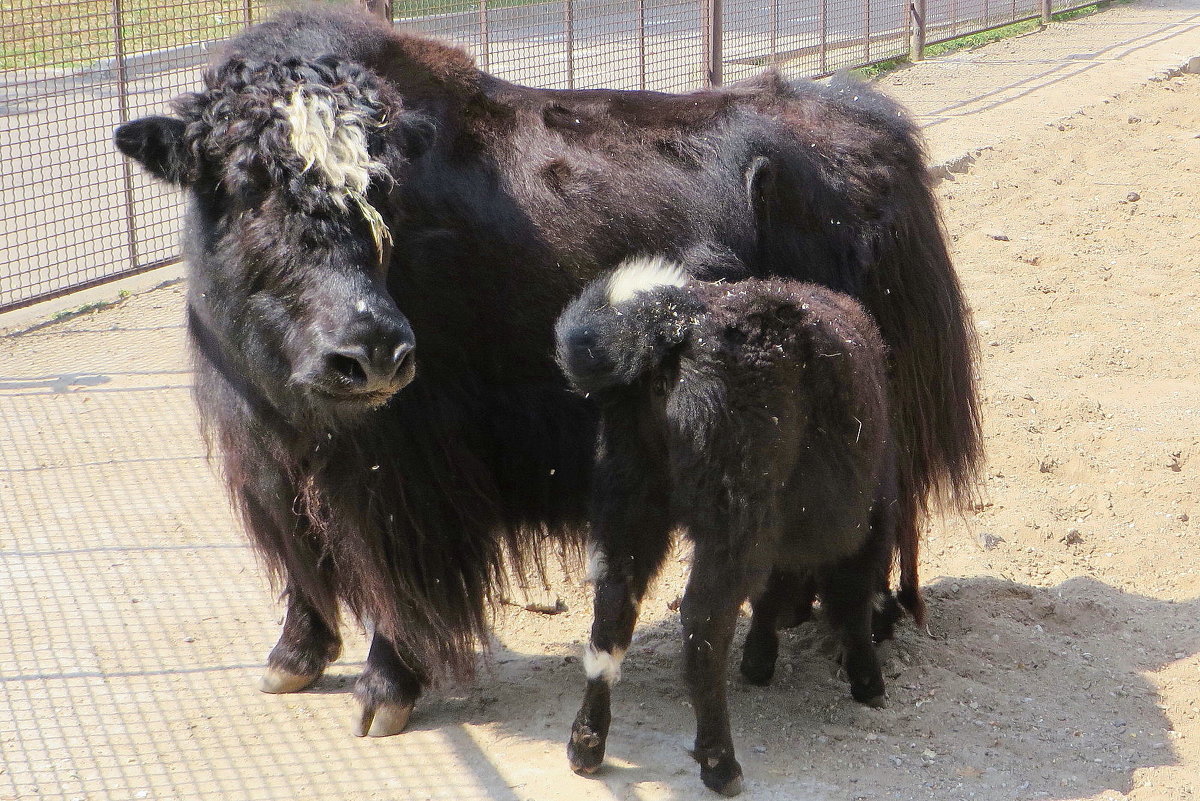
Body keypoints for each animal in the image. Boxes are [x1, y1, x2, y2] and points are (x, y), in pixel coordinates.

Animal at [556, 257, 897, 796]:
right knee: (703, 624)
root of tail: (671, 329)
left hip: (628, 502)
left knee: (611, 612)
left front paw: (759, 661)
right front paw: (868, 683)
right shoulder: (867, 527)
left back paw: (586, 744)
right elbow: (852, 602)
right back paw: (720, 762)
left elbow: (772, 595)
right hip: (729, 524)